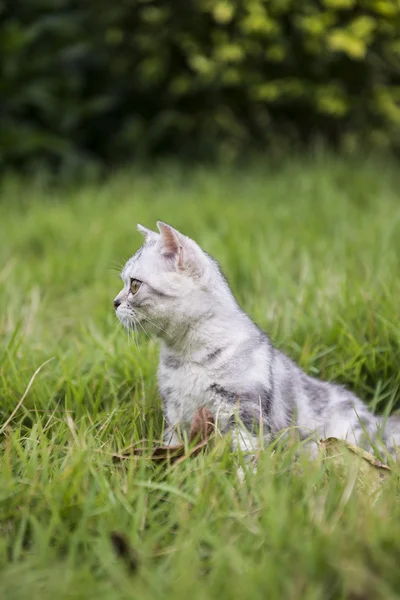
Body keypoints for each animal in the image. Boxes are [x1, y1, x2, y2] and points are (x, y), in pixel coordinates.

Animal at [113, 223, 400, 458]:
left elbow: (247, 462)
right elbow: (174, 449)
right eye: (124, 283)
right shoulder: (175, 415)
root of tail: (378, 421)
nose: (114, 302)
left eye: (134, 285)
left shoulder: (245, 413)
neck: (185, 355)